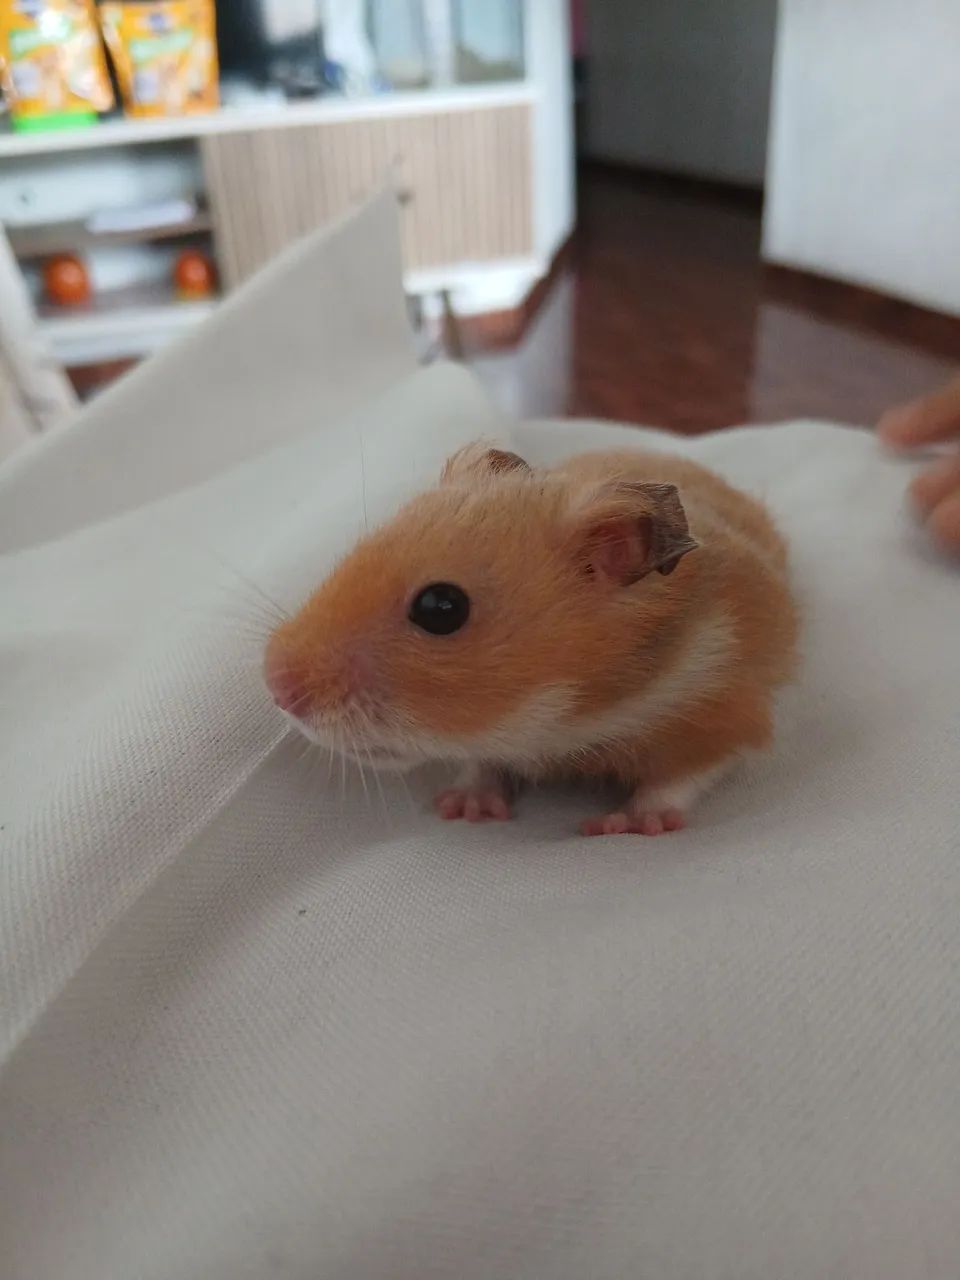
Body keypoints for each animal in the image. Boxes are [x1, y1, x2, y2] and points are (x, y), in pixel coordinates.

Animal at [264, 442, 798, 836]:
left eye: (441, 608)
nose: (276, 687)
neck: (568, 713)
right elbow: (480, 765)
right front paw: (463, 808)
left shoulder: (724, 710)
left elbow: (679, 777)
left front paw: (620, 825)